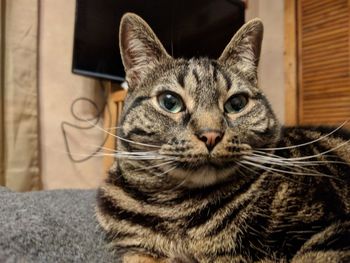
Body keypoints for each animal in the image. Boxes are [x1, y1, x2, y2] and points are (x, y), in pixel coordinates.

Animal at [95, 12, 350, 263]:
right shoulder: (137, 250)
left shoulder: (332, 231)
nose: (211, 135)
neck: (179, 211)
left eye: (236, 103)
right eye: (170, 102)